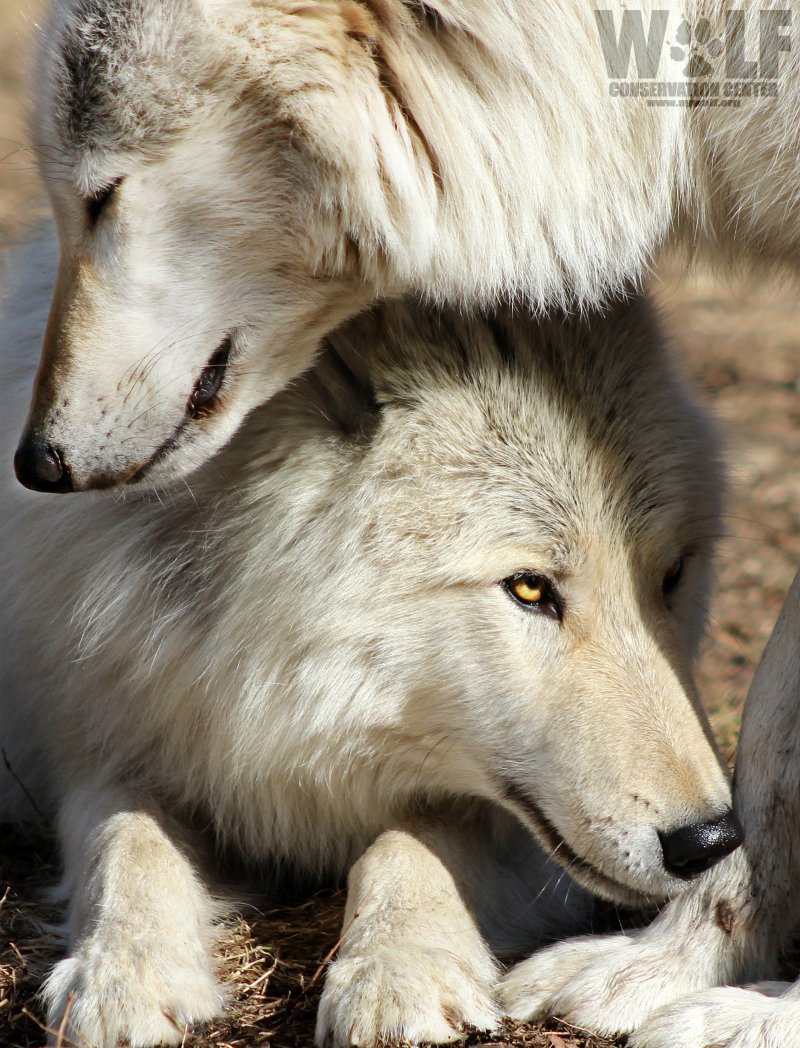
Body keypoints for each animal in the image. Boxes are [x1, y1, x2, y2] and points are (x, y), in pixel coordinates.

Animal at [0, 235, 739, 1047]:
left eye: (670, 575)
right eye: (529, 589)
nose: (711, 840)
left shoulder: (497, 820)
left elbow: (406, 845)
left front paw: (398, 973)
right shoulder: (107, 736)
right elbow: (124, 839)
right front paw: (120, 973)